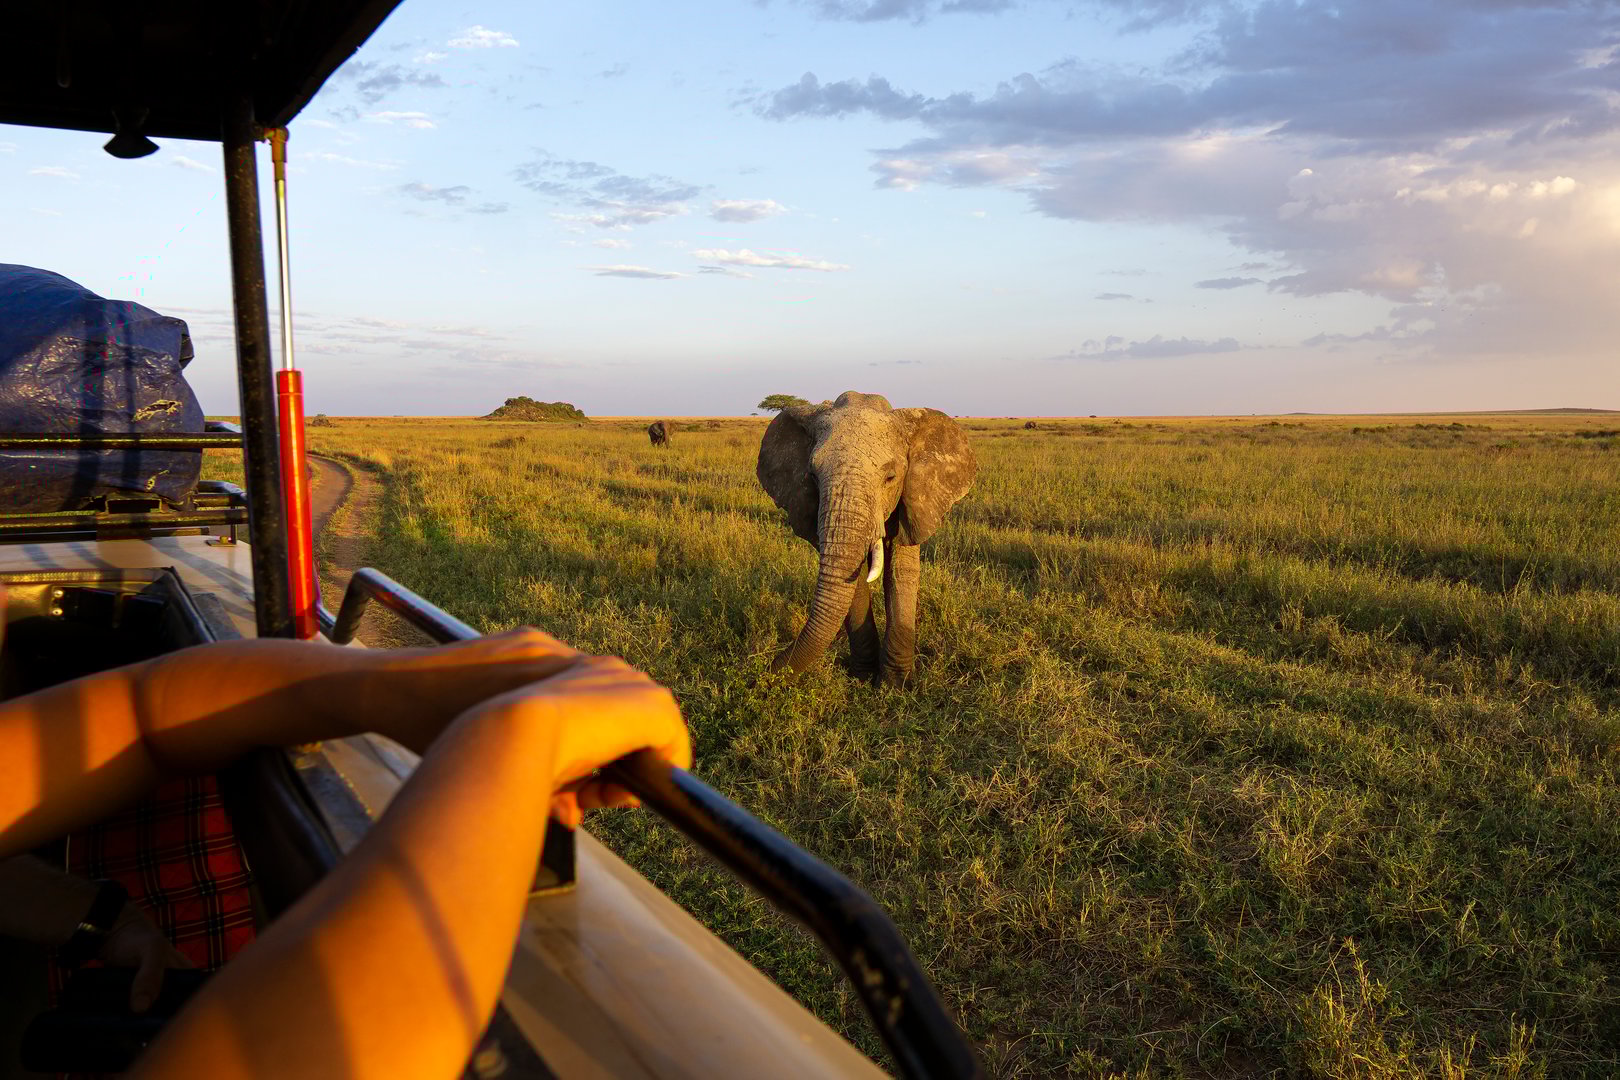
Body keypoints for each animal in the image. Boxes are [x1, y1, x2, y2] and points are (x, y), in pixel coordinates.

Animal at [757, 391, 976, 686]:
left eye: (891, 477)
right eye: (812, 476)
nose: (759, 676)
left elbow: (900, 569)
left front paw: (896, 685)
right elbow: (855, 577)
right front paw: (863, 676)